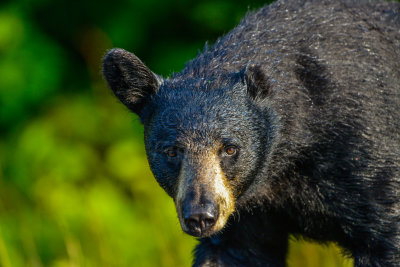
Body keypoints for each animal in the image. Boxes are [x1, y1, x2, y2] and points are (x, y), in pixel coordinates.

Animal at [102, 0, 400, 266]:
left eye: (230, 148)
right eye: (172, 151)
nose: (200, 216)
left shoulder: (363, 147)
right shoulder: (244, 214)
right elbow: (234, 252)